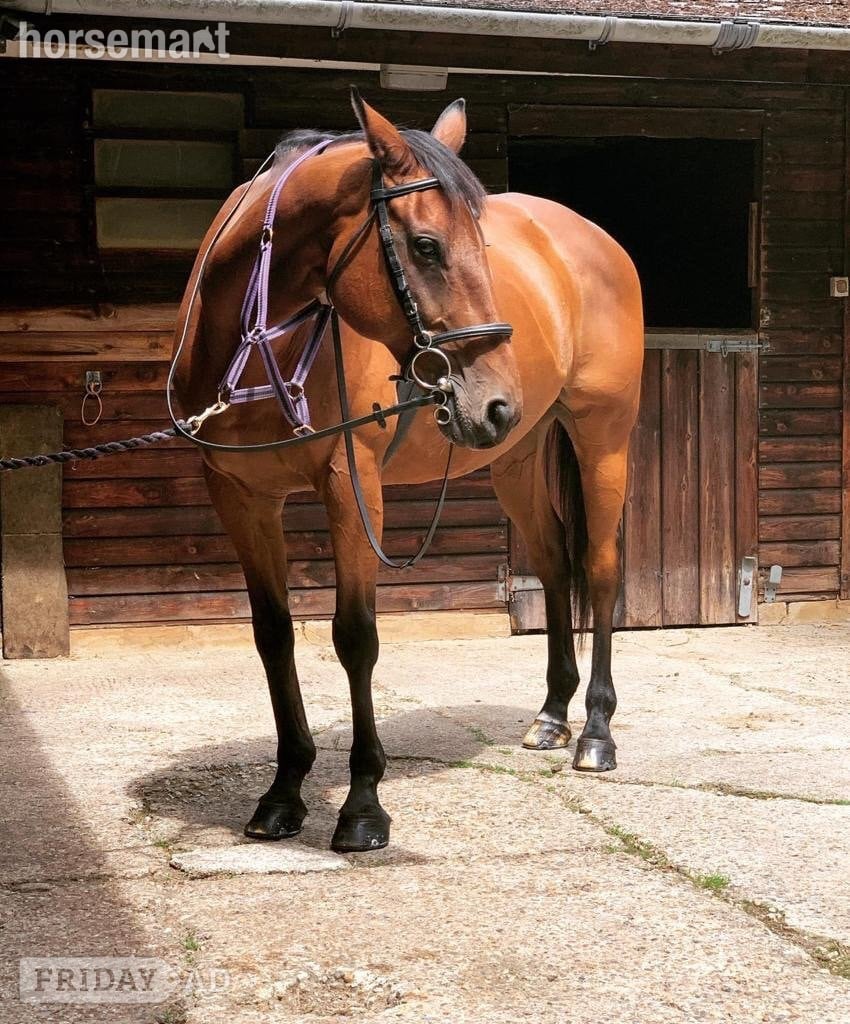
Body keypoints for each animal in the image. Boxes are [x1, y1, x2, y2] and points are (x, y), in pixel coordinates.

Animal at [172, 90, 644, 853]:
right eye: (425, 245)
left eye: (482, 241)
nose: (492, 400)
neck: (257, 341)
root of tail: (596, 240)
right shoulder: (241, 496)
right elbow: (274, 636)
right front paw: (283, 792)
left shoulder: (351, 485)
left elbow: (355, 637)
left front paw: (362, 804)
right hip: (516, 458)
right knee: (553, 563)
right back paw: (551, 715)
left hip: (602, 437)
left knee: (598, 569)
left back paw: (596, 732)